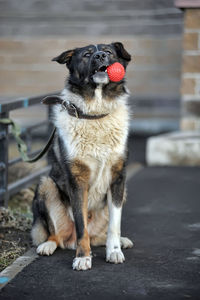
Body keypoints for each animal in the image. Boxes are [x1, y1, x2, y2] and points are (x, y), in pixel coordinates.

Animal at [31, 41, 134, 270]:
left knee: (100, 235)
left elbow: (115, 225)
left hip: (124, 192)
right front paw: (83, 257)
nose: (100, 56)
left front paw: (114, 251)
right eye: (87, 55)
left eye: (109, 52)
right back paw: (48, 245)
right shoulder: (77, 181)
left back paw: (120, 242)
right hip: (46, 185)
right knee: (58, 236)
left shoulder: (118, 178)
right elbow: (81, 226)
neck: (95, 115)